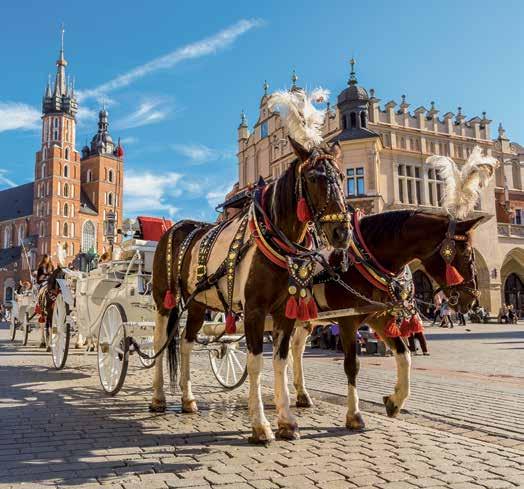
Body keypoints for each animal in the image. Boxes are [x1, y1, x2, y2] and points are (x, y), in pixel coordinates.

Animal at [149, 137, 350, 442]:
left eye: (341, 176)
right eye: (314, 178)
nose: (342, 232)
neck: (275, 241)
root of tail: (175, 227)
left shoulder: (285, 313)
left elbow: (281, 361)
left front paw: (287, 420)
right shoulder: (255, 312)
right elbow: (256, 363)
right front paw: (260, 425)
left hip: (197, 303)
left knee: (185, 342)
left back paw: (188, 399)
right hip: (164, 300)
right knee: (161, 340)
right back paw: (158, 398)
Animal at [290, 208, 484, 428]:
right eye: (466, 253)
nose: (472, 300)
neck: (362, 262)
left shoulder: (379, 318)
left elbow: (404, 355)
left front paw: (395, 401)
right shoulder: (347, 321)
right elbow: (352, 365)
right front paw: (354, 414)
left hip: (305, 320)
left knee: (295, 349)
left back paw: (301, 394)